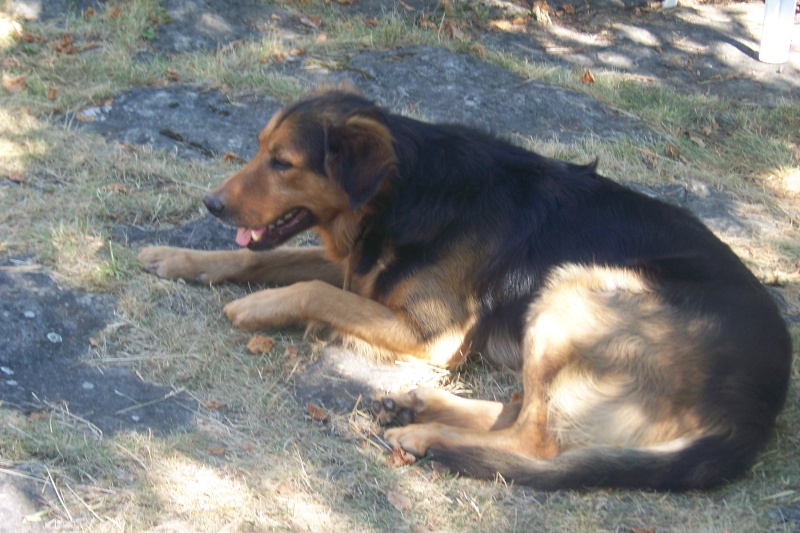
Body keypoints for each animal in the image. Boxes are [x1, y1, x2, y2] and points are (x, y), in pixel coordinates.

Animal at [136, 87, 788, 490]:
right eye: (258, 150)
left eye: (283, 162)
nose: (210, 204)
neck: (405, 192)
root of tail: (757, 412)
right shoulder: (360, 270)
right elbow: (269, 260)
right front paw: (179, 257)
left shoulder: (434, 334)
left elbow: (312, 293)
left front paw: (258, 307)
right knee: (520, 411)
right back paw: (417, 405)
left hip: (573, 291)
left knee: (537, 440)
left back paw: (425, 433)